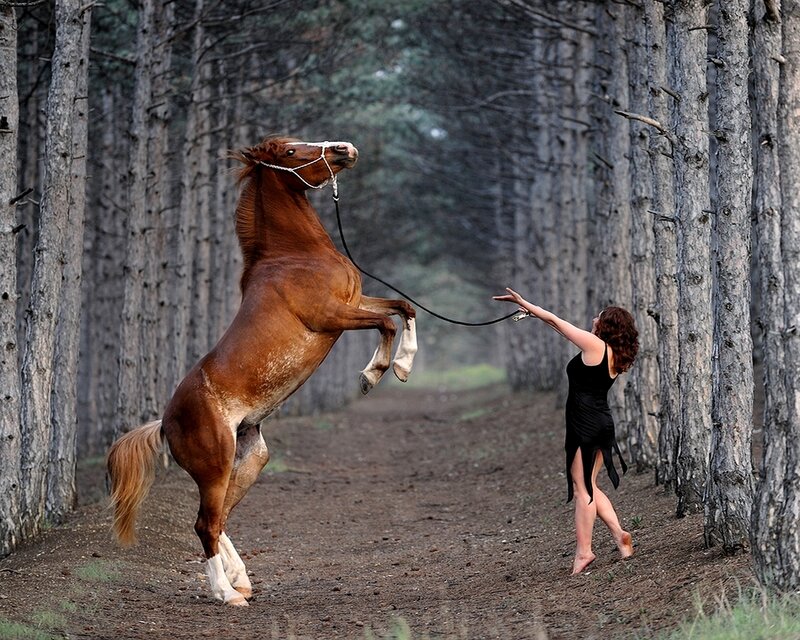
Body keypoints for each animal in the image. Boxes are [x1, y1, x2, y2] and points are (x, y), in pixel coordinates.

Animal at [106, 136, 417, 606]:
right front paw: (375, 373)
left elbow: (403, 307)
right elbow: (386, 322)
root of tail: (164, 423)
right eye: (290, 152)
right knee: (205, 524)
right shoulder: (330, 315)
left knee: (218, 520)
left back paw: (241, 580)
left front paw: (403, 365)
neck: (295, 256)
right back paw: (226, 593)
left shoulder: (354, 302)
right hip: (215, 466)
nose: (345, 149)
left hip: (251, 458)